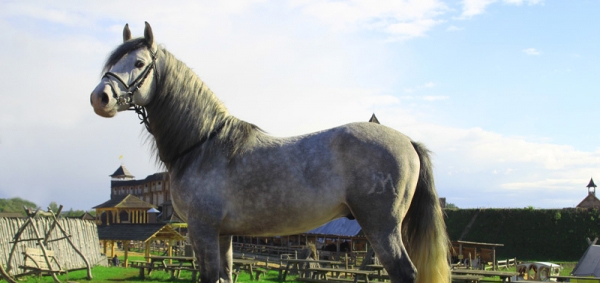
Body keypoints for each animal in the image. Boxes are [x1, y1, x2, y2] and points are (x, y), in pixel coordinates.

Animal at [89, 23, 450, 283]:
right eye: (113, 61)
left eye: (138, 63)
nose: (99, 98)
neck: (202, 145)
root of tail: (408, 142)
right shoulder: (223, 235)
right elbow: (224, 276)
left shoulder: (201, 229)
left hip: (382, 228)